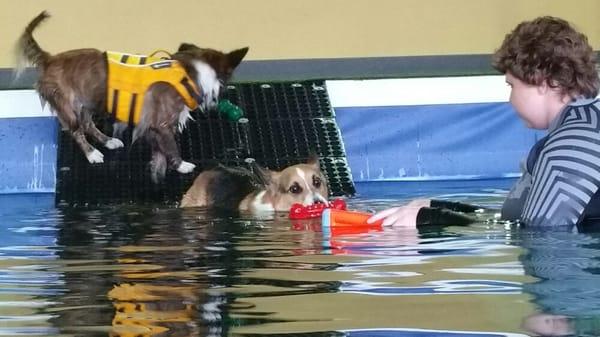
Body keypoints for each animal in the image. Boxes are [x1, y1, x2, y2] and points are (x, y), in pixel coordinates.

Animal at [15, 11, 248, 181]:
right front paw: (181, 166)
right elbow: (171, 147)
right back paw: (92, 154)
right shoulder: (162, 124)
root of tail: (49, 59)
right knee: (77, 131)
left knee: (88, 125)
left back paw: (108, 141)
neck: (189, 73)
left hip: (87, 103)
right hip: (69, 108)